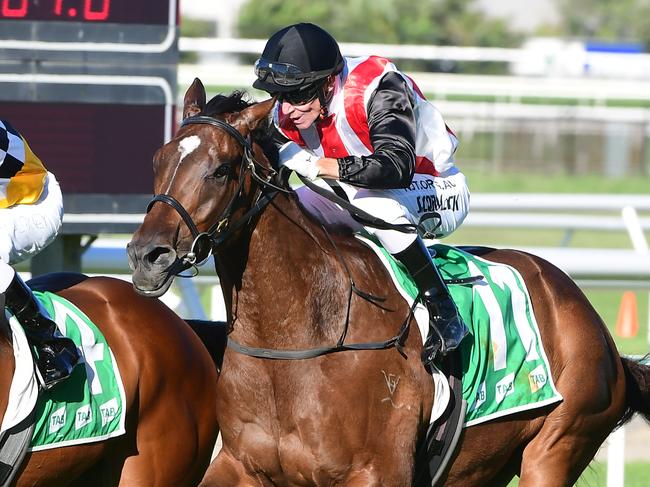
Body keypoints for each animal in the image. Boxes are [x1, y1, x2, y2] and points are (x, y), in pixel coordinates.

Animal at [126, 78, 648, 486]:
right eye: (157, 159)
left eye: (220, 169)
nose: (147, 255)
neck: (297, 338)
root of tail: (587, 315)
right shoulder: (241, 465)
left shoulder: (376, 472)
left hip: (556, 447)